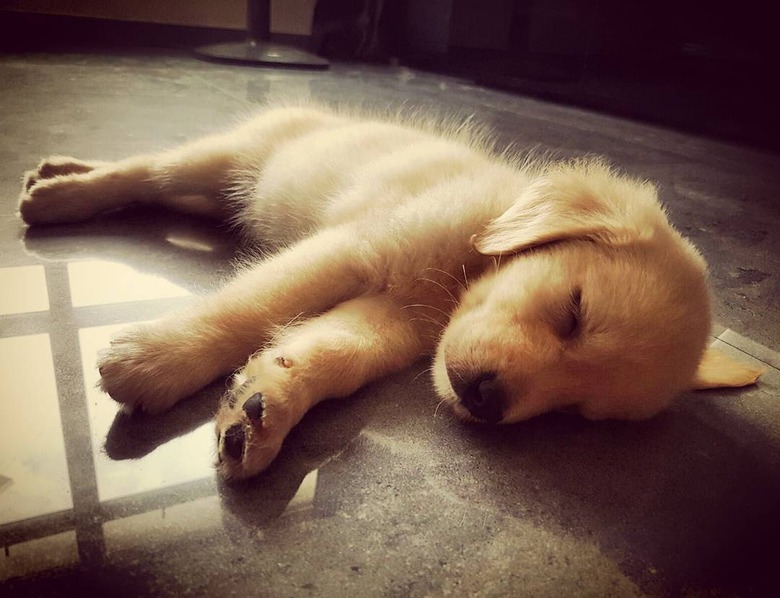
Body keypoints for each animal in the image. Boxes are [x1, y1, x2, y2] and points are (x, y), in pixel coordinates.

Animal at [18, 105, 760, 482]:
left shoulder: (391, 323)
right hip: (224, 160)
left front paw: (262, 411)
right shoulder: (355, 249)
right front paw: (156, 360)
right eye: (573, 312)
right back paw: (58, 194)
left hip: (220, 192)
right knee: (141, 173)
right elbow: (251, 307)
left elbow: (333, 353)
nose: (487, 402)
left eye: (577, 412)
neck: (461, 270)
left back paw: (57, 172)